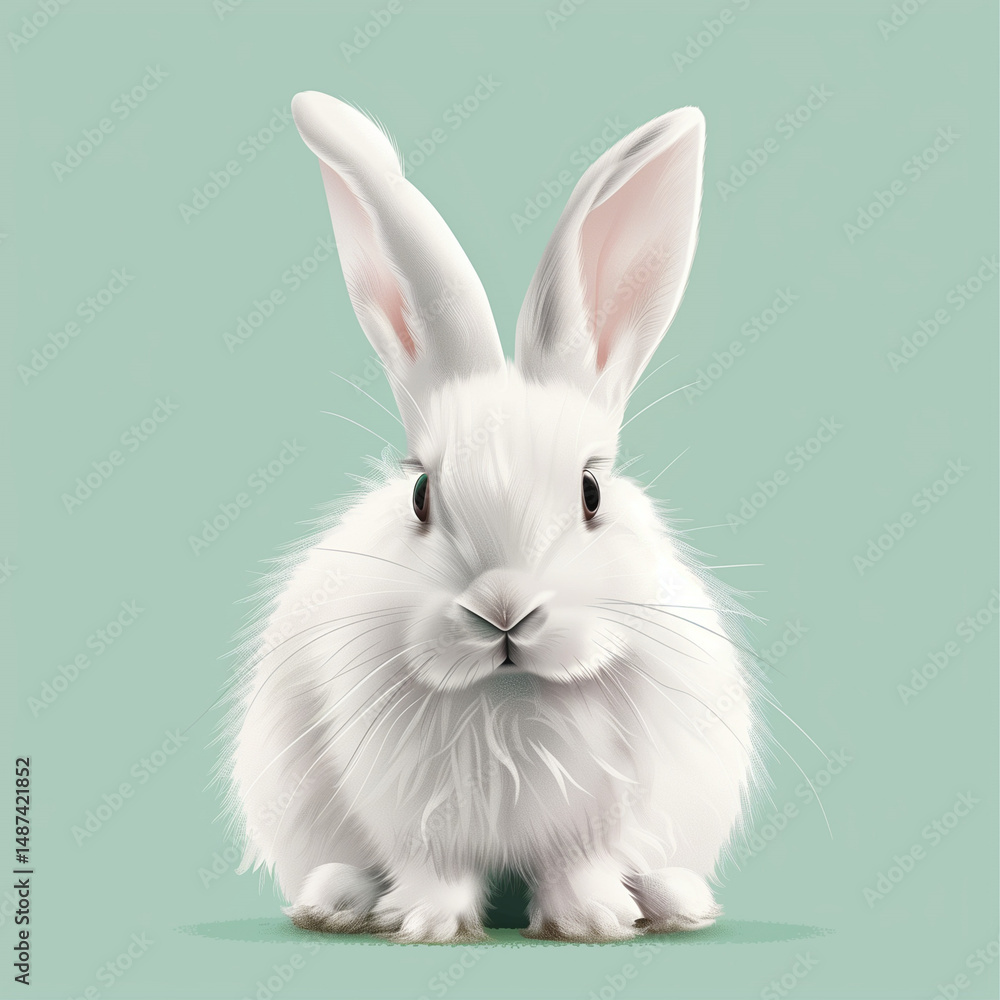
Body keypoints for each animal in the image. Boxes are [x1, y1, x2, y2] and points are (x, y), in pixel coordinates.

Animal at [222, 90, 767, 944]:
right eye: (420, 494)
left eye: (591, 491)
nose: (503, 609)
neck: (510, 700)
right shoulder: (410, 812)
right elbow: (432, 867)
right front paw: (424, 923)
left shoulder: (606, 812)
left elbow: (583, 862)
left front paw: (592, 919)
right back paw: (337, 900)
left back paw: (676, 900)